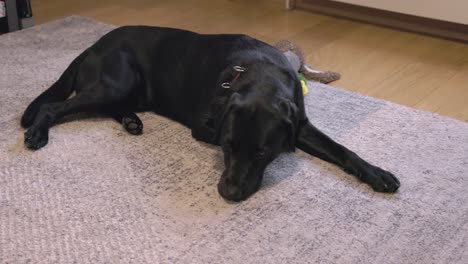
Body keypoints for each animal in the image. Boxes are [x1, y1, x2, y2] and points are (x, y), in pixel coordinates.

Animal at [22, 25, 400, 201]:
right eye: (228, 146)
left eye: (262, 152)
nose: (229, 193)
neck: (259, 74)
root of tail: (93, 44)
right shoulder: (204, 126)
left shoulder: (300, 123)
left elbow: (342, 150)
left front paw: (378, 174)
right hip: (117, 82)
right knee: (54, 106)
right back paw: (37, 133)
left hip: (131, 91)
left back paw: (131, 121)